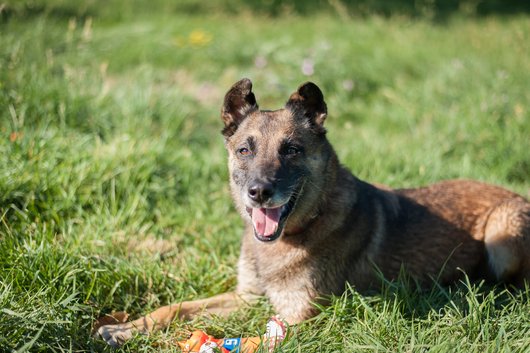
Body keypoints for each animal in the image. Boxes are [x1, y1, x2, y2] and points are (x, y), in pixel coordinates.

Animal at [96, 78, 528, 346]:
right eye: (244, 150)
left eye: (291, 150)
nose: (259, 193)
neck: (294, 234)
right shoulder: (247, 297)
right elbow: (178, 307)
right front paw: (126, 328)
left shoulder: (296, 316)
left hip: (502, 232)